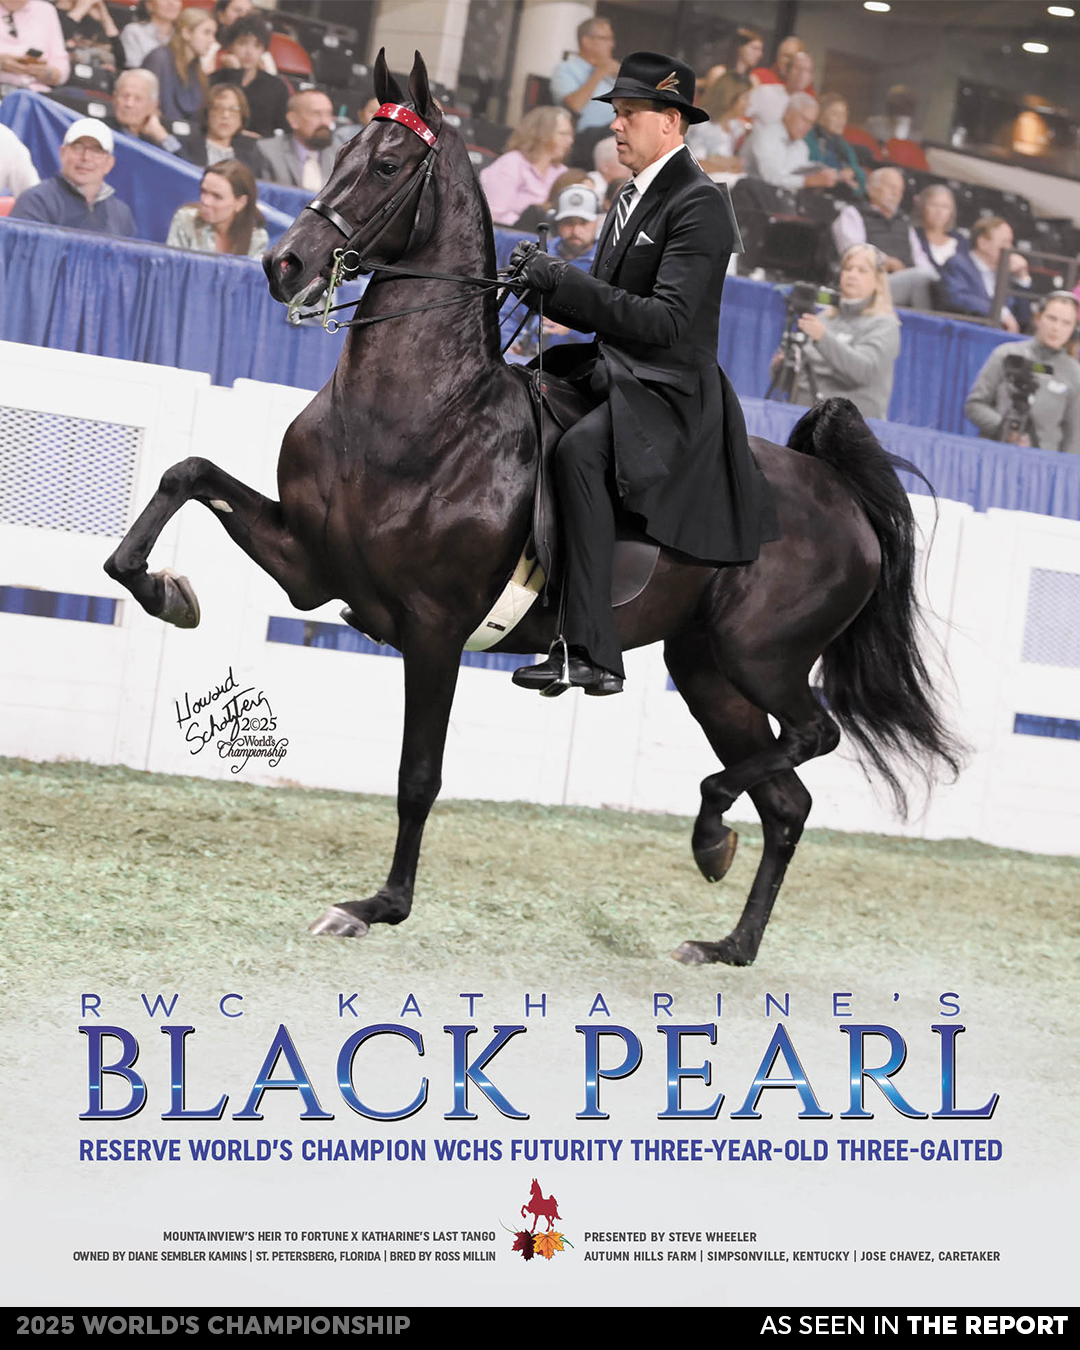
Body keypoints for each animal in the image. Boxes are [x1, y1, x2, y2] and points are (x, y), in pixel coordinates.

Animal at [103, 51, 961, 967]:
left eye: (388, 166)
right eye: (336, 150)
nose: (284, 266)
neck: (411, 413)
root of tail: (839, 495)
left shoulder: (434, 627)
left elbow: (418, 776)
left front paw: (377, 905)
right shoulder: (310, 563)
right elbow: (186, 474)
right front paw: (164, 592)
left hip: (760, 656)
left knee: (812, 739)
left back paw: (707, 828)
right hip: (708, 671)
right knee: (787, 800)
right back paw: (725, 934)